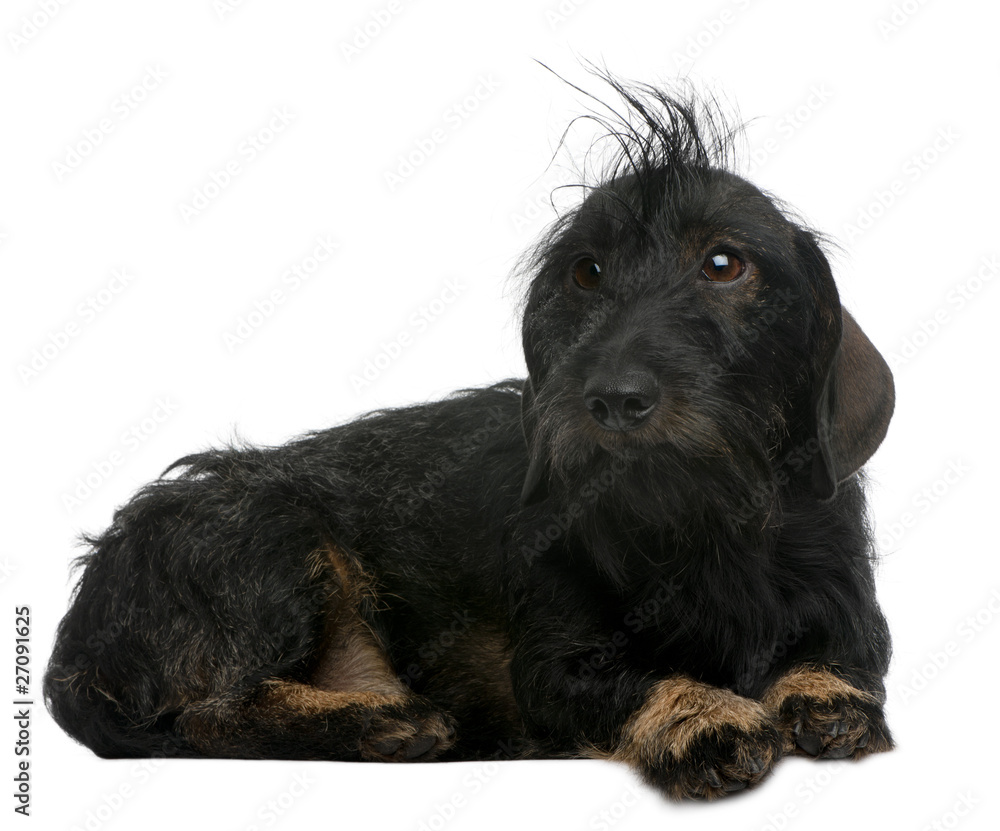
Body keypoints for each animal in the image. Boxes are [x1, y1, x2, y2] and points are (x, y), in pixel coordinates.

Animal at [45, 75, 900, 804]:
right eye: (586, 272)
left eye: (724, 262)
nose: (613, 397)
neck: (701, 521)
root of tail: (80, 635)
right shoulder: (557, 662)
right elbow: (635, 678)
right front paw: (705, 716)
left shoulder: (848, 608)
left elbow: (836, 656)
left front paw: (823, 694)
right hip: (270, 534)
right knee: (209, 711)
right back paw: (380, 721)